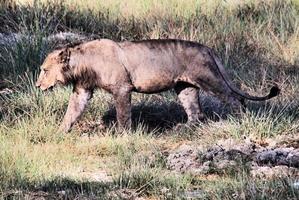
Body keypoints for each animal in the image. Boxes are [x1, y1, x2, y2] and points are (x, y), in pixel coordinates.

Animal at [35, 39, 282, 133]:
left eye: (45, 70)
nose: (37, 85)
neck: (83, 64)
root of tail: (207, 47)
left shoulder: (122, 89)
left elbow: (123, 114)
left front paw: (123, 134)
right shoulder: (82, 90)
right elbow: (71, 112)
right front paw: (59, 133)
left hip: (210, 79)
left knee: (234, 98)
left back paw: (240, 120)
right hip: (184, 87)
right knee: (196, 111)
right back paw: (185, 128)